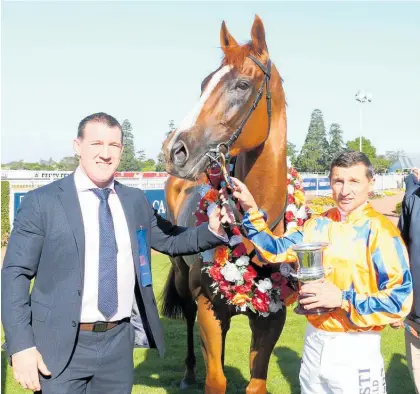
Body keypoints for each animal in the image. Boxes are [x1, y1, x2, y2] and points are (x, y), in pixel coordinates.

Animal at [161, 16, 288, 394]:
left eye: (242, 84)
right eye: (204, 83)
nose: (175, 150)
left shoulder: (273, 316)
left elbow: (256, 383)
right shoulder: (208, 307)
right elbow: (215, 380)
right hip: (182, 276)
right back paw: (189, 372)